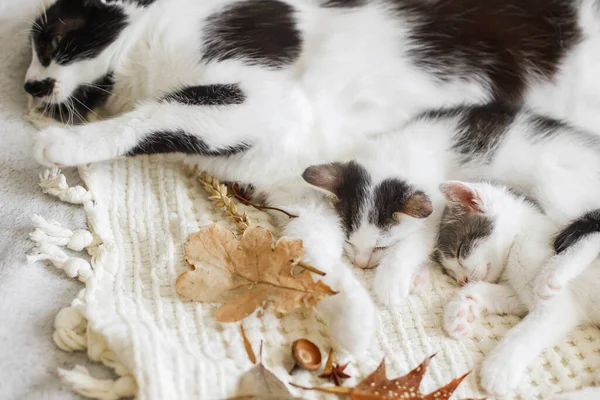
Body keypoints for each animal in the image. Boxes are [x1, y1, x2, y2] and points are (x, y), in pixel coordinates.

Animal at [28, 0, 600, 356]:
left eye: (54, 39)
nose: (31, 86)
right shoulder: (310, 194)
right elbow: (311, 253)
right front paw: (352, 319)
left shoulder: (262, 99)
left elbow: (155, 117)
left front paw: (67, 144)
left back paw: (553, 275)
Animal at [434, 182, 600, 400]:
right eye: (449, 272)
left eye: (460, 251)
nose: (462, 281)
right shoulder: (519, 293)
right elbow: (502, 295)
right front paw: (462, 310)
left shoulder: (555, 304)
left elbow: (524, 332)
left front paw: (498, 368)